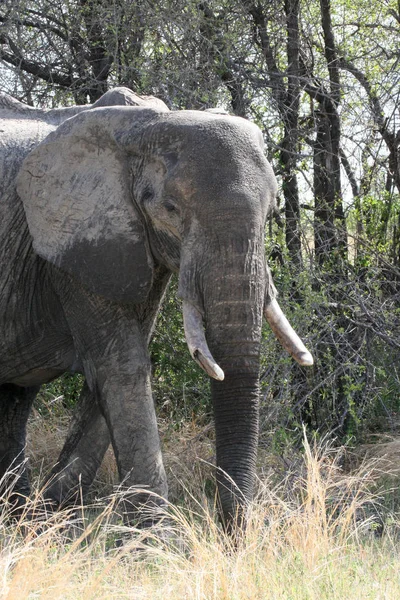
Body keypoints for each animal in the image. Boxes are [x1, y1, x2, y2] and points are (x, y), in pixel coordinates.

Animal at [0, 88, 312, 528]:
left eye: (270, 214)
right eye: (170, 209)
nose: (231, 533)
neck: (141, 126)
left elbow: (119, 365)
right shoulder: (77, 237)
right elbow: (122, 367)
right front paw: (155, 538)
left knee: (15, 399)